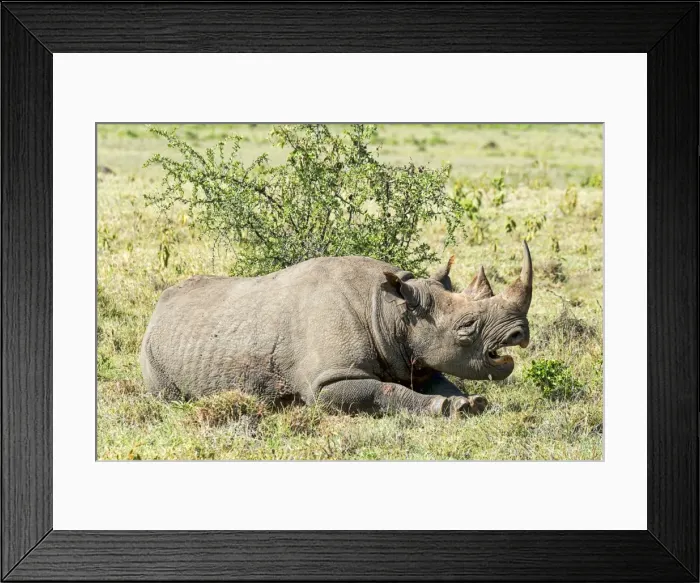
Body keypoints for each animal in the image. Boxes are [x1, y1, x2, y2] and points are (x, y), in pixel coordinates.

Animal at [140, 242, 533, 416]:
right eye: (466, 327)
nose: (519, 333)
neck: (391, 311)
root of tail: (156, 309)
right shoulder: (328, 381)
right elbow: (387, 392)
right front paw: (448, 408)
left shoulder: (412, 356)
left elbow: (442, 381)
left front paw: (470, 402)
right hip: (151, 353)